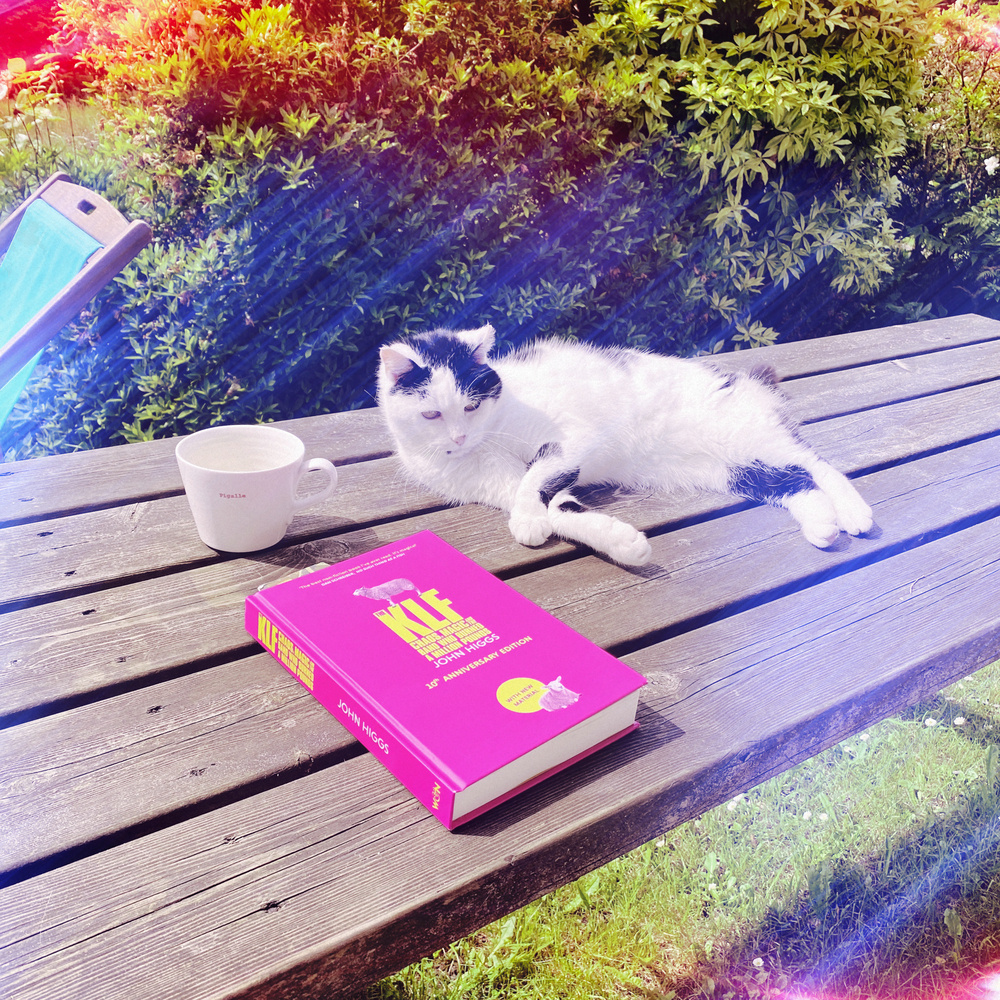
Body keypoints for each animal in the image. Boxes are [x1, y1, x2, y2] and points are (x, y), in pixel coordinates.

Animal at [372, 324, 872, 568]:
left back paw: (853, 513)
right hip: (734, 468)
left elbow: (537, 477)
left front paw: (530, 520)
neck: (487, 442)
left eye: (471, 406)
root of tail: (743, 379)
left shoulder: (572, 439)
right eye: (432, 415)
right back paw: (823, 525)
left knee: (815, 463)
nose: (459, 438)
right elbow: (561, 510)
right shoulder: (499, 483)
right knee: (792, 481)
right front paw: (622, 543)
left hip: (750, 435)